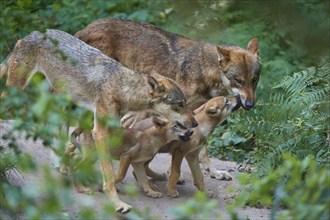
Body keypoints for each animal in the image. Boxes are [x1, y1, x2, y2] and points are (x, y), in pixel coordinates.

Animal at [0, 29, 196, 213]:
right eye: (180, 104)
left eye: (186, 103)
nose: (195, 124)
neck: (122, 88)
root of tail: (31, 34)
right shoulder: (100, 133)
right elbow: (109, 174)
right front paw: (118, 203)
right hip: (16, 93)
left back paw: (60, 166)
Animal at [76, 18, 262, 180]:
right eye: (238, 80)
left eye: (254, 80)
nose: (250, 104)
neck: (205, 71)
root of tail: (84, 29)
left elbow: (203, 149)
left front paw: (215, 172)